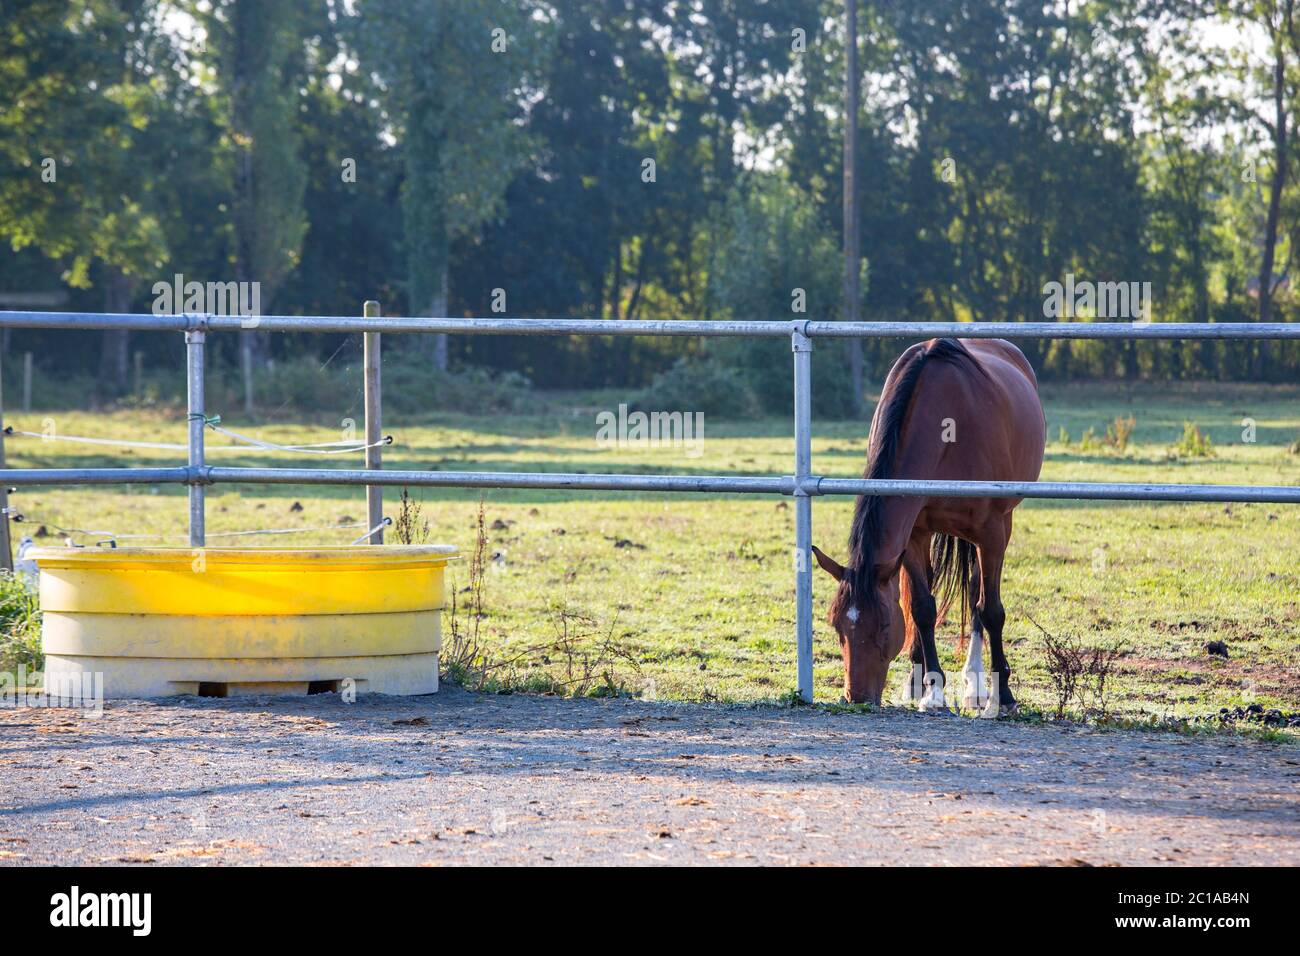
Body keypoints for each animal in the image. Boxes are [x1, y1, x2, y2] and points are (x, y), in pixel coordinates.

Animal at [811, 340, 1045, 712]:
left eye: (884, 626)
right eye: (836, 626)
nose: (856, 698)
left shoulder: (992, 533)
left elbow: (991, 610)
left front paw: (1003, 696)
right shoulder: (914, 533)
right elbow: (921, 607)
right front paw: (932, 691)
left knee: (977, 594)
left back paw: (976, 684)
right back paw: (918, 680)